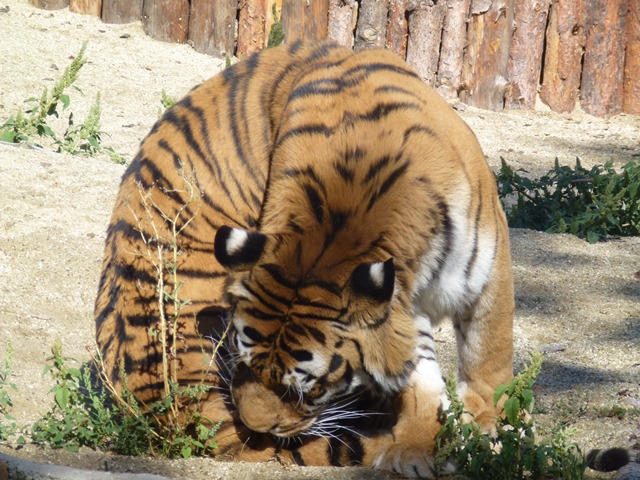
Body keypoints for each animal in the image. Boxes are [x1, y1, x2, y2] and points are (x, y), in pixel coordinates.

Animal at [94, 40, 514, 477]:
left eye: (308, 388)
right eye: (243, 361)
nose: (254, 427)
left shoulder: (487, 271)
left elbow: (489, 353)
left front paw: (488, 427)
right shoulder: (402, 309)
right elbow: (420, 380)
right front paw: (418, 447)